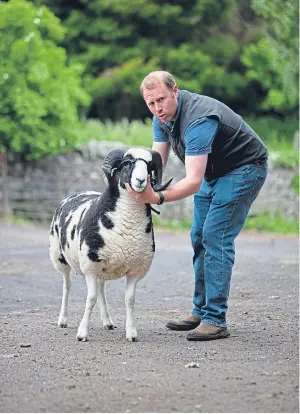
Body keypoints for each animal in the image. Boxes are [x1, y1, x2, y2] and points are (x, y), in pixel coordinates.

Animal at [48, 147, 171, 342]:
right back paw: (63, 320)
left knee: (101, 289)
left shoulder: (135, 270)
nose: (140, 181)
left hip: (102, 267)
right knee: (67, 286)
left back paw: (107, 322)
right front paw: (82, 334)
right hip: (60, 258)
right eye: (127, 163)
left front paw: (132, 333)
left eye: (149, 166)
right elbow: (90, 298)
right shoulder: (90, 266)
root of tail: (76, 193)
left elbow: (129, 300)